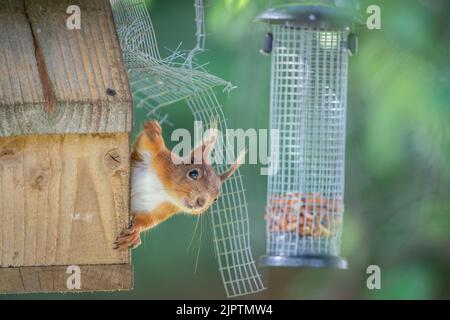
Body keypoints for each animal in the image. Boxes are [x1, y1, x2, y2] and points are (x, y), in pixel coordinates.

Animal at [114, 120, 244, 250]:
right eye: (193, 173)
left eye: (216, 199)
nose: (201, 202)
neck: (164, 190)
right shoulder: (157, 157)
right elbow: (148, 143)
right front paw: (154, 130)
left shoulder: (162, 209)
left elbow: (146, 220)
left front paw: (134, 233)